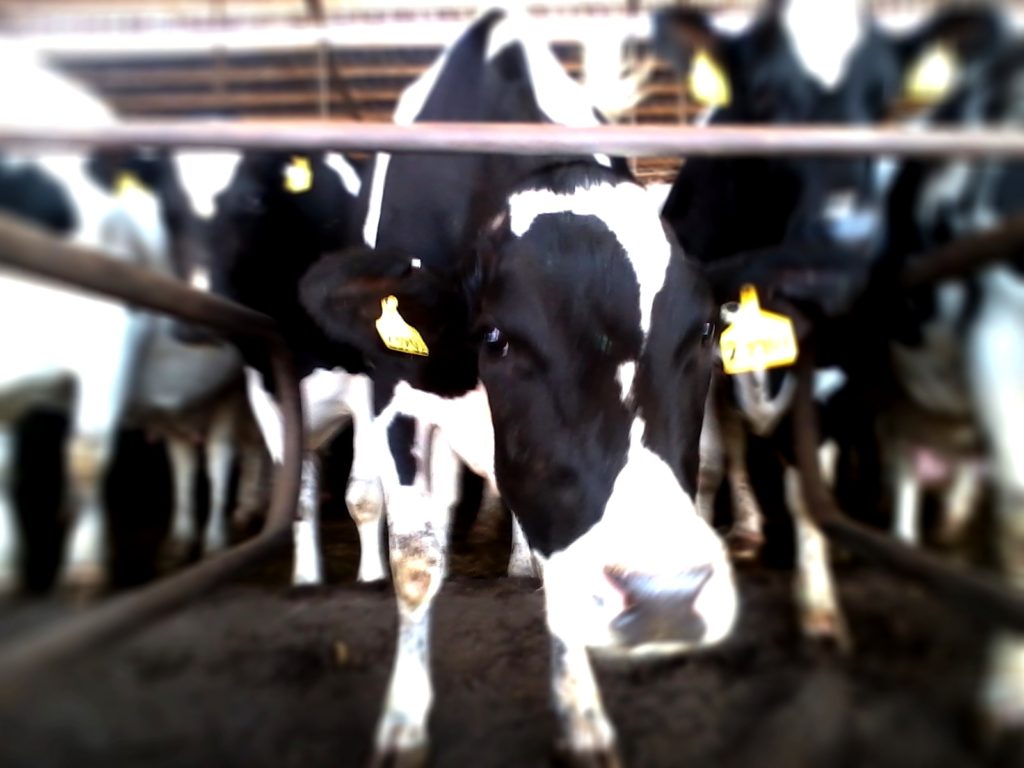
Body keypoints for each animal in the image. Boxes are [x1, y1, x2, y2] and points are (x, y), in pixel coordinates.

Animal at [296, 9, 738, 765]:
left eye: (705, 332)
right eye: (498, 339)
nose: (665, 598)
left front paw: (582, 716)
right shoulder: (393, 396)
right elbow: (414, 561)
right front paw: (403, 722)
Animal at [652, 0, 1007, 648]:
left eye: (886, 100)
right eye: (762, 94)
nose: (846, 237)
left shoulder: (829, 358)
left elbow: (806, 484)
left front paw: (818, 604)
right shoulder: (699, 354)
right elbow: (710, 460)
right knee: (738, 447)